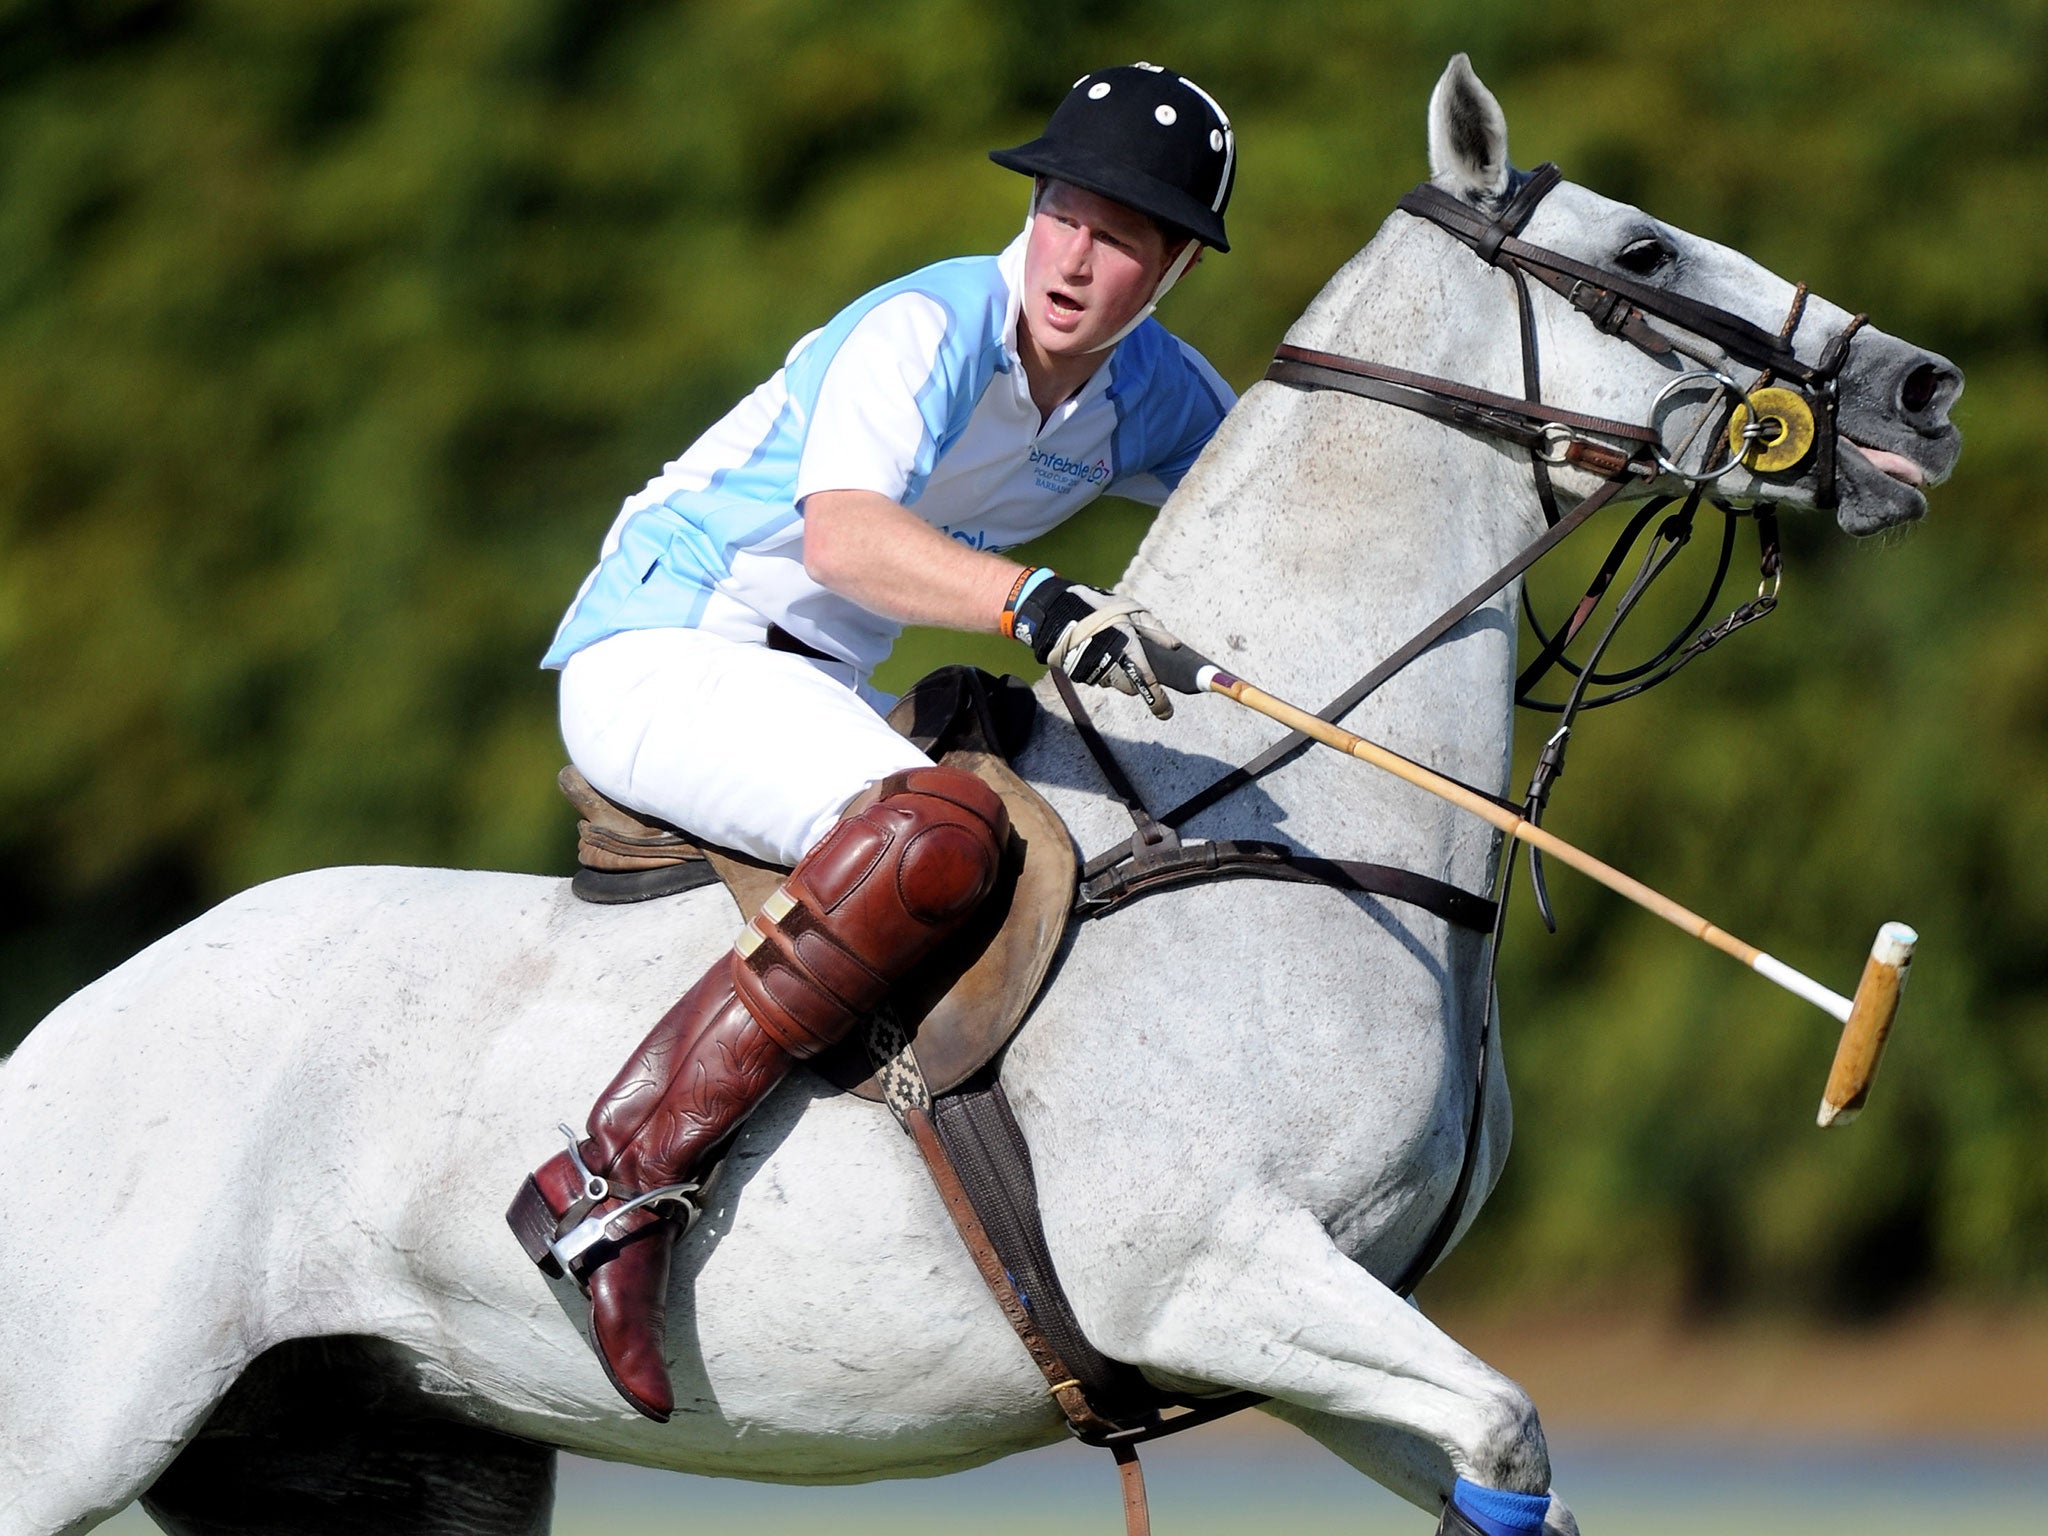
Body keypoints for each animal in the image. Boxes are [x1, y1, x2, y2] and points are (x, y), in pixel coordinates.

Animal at [0, 54, 1949, 1531]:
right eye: (1639, 239)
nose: (1921, 386)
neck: (1307, 827)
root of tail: (60, 1033)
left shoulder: (1331, 1338)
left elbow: (1503, 1454)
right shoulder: (1212, 1270)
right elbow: (1506, 1423)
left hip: (373, 1440)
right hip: (76, 1418)